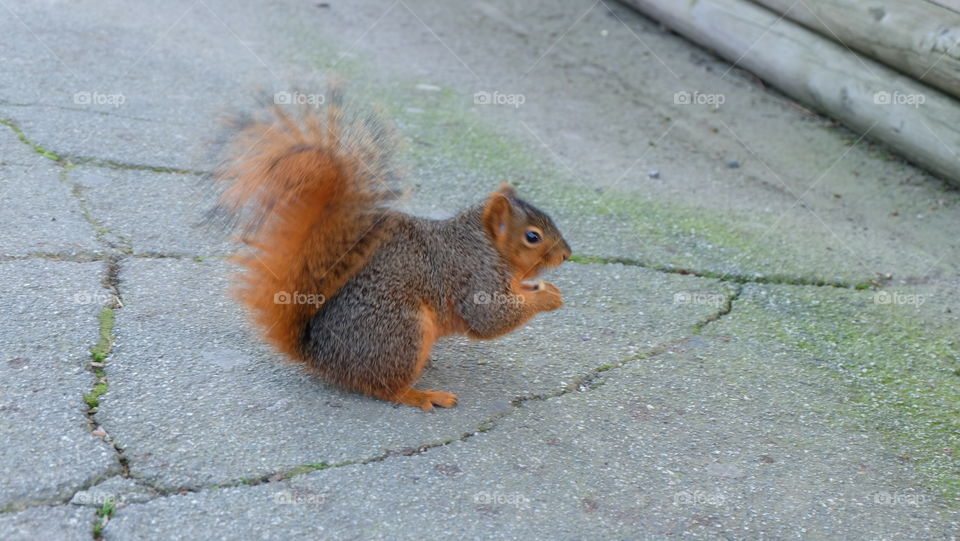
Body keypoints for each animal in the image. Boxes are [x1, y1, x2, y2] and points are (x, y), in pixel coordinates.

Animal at [218, 89, 568, 410]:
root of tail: (317, 354)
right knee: (384, 388)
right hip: (403, 332)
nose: (567, 254)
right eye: (533, 236)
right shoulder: (476, 277)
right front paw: (547, 298)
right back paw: (421, 395)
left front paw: (544, 288)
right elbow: (489, 318)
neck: (484, 243)